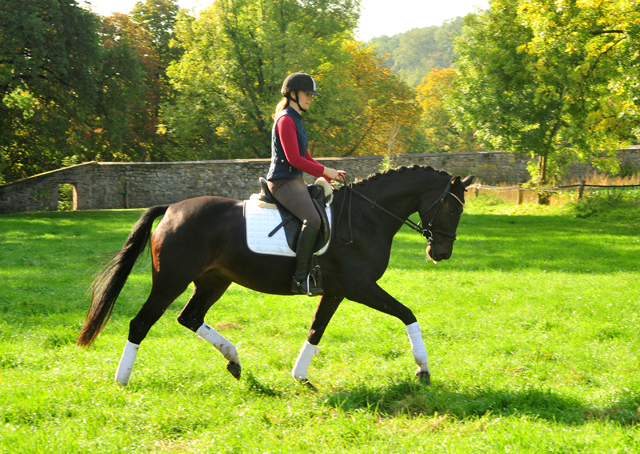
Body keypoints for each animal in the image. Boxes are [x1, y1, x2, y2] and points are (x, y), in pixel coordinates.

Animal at [76, 167, 476, 386]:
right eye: (452, 209)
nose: (441, 253)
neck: (367, 215)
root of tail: (172, 209)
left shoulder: (336, 291)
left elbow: (316, 330)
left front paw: (300, 376)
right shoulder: (360, 287)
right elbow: (408, 314)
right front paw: (423, 370)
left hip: (213, 281)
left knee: (190, 317)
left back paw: (234, 361)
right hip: (171, 280)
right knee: (140, 323)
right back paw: (122, 380)